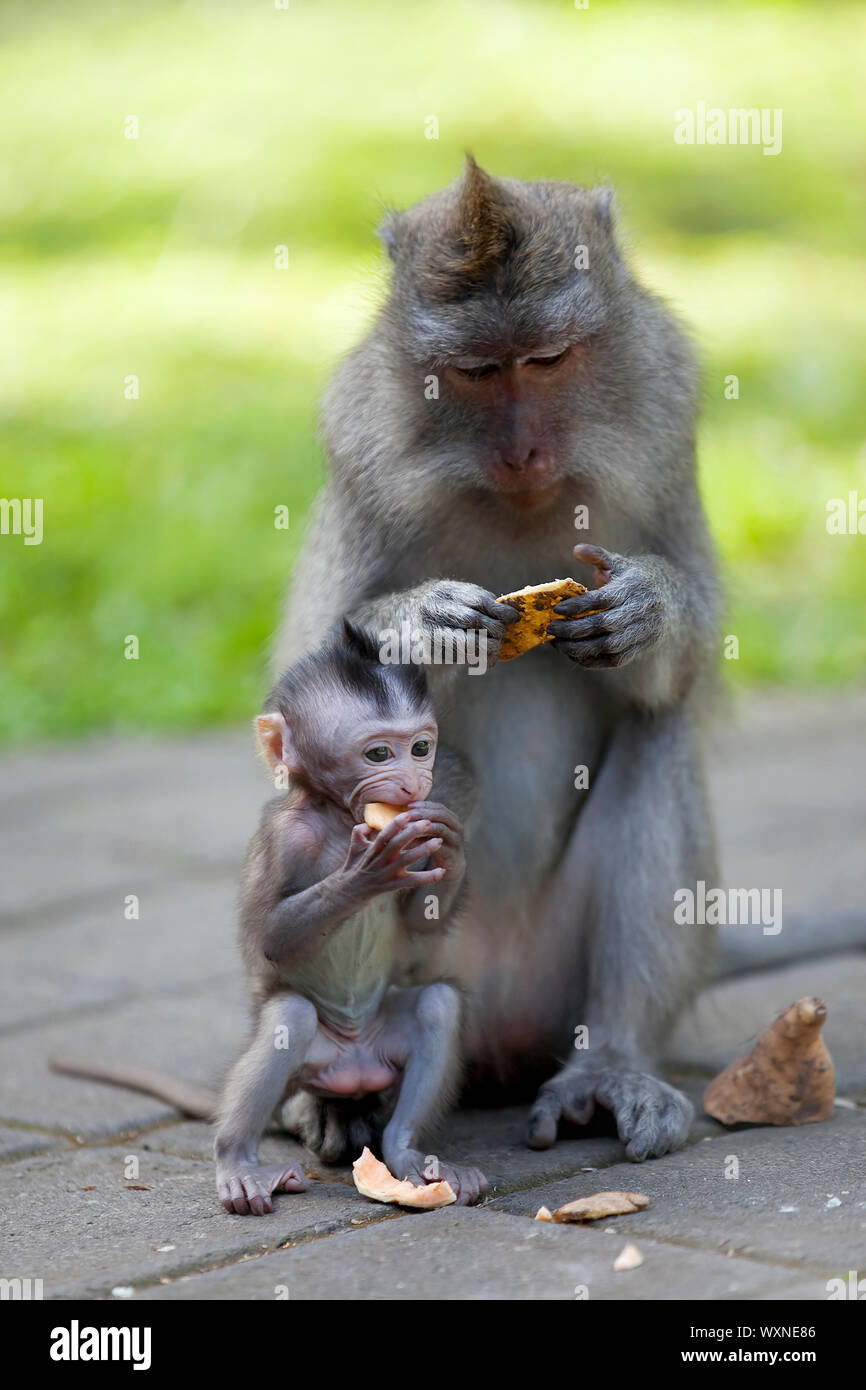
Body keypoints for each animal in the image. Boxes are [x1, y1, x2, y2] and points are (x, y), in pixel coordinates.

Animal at [273, 156, 723, 1164]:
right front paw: (421, 622)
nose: (522, 450)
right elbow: (294, 704)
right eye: (475, 373)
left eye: (548, 360)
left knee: (660, 730)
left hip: (555, 986)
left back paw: (611, 1069)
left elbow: (691, 662)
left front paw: (647, 610)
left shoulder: (666, 437)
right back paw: (338, 1098)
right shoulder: (361, 464)